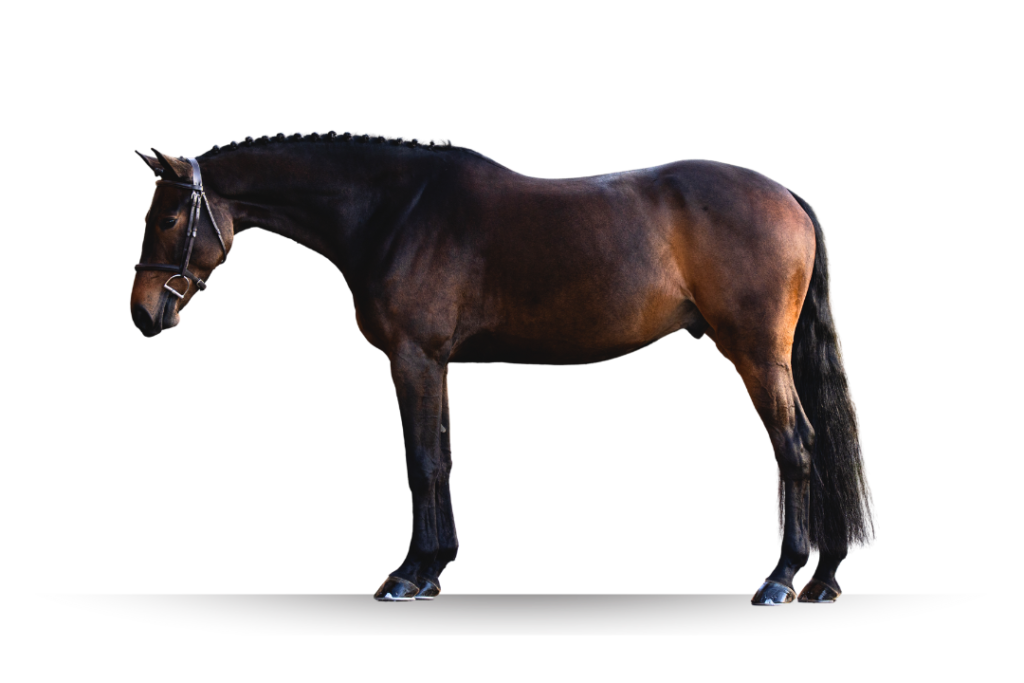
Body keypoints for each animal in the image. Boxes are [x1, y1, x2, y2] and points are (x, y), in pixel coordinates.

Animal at [128, 130, 878, 604]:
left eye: (167, 219)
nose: (142, 314)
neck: (392, 209)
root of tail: (788, 197)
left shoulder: (414, 356)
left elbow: (421, 459)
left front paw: (406, 575)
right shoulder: (435, 360)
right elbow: (441, 453)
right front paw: (433, 570)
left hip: (755, 351)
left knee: (796, 445)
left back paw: (782, 579)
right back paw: (823, 579)